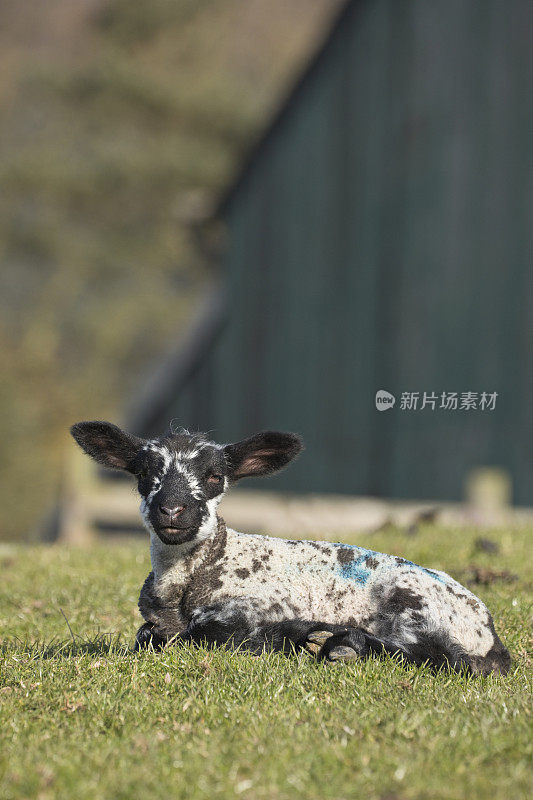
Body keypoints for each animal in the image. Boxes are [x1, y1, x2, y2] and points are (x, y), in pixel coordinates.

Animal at [70, 418, 512, 676]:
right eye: (144, 474)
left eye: (214, 476)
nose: (172, 510)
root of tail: (488, 629)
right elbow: (148, 635)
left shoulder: (257, 607)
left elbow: (212, 635)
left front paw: (296, 636)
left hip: (414, 603)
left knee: (443, 658)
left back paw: (339, 644)